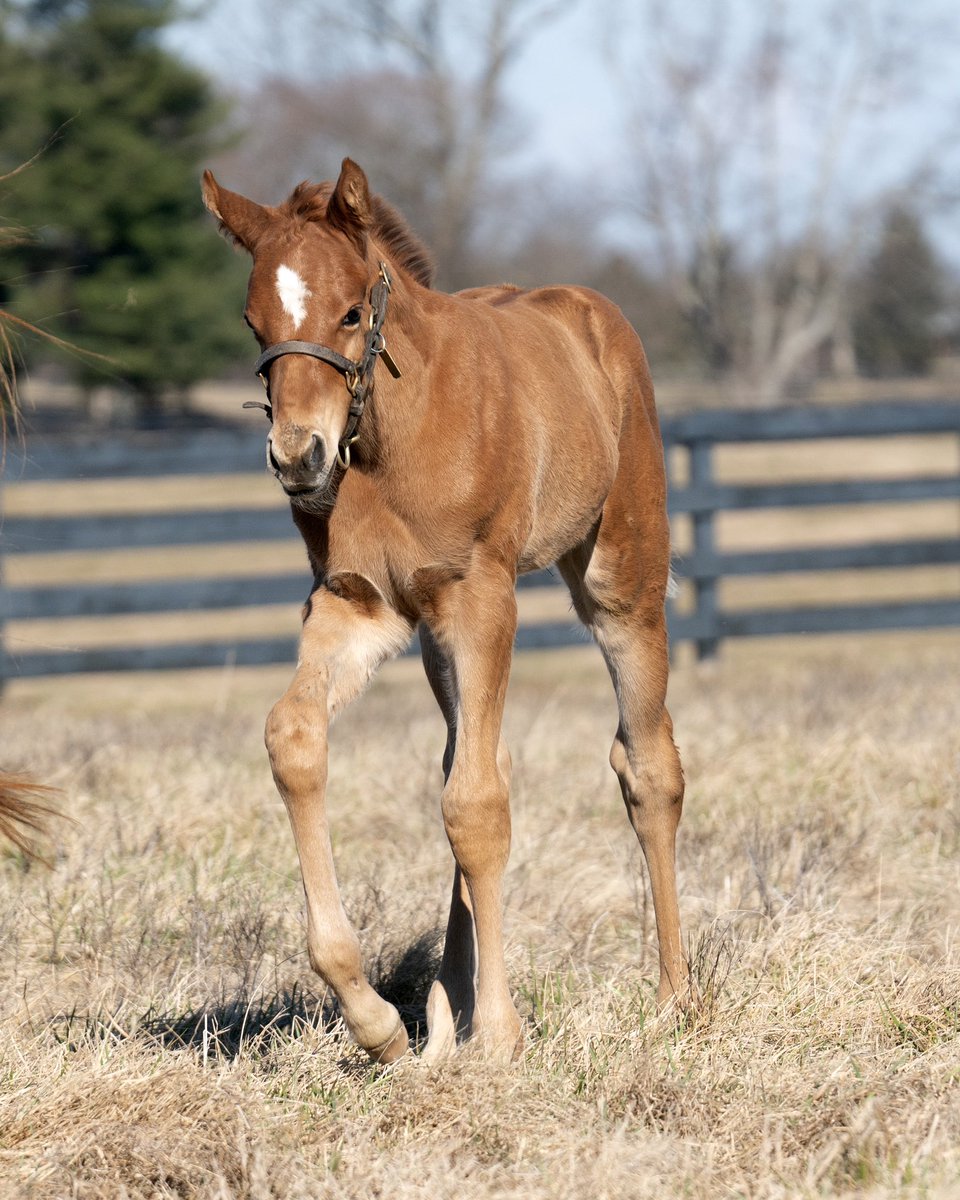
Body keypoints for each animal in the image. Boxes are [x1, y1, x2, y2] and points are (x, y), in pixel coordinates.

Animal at [201, 158, 687, 1064]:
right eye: (253, 324)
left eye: (351, 311)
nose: (299, 458)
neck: (392, 437)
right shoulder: (358, 606)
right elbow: (297, 741)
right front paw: (380, 1023)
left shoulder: (481, 595)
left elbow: (477, 807)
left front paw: (496, 1034)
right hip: (433, 639)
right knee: (469, 756)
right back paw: (438, 1009)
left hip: (622, 581)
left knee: (646, 766)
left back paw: (675, 997)